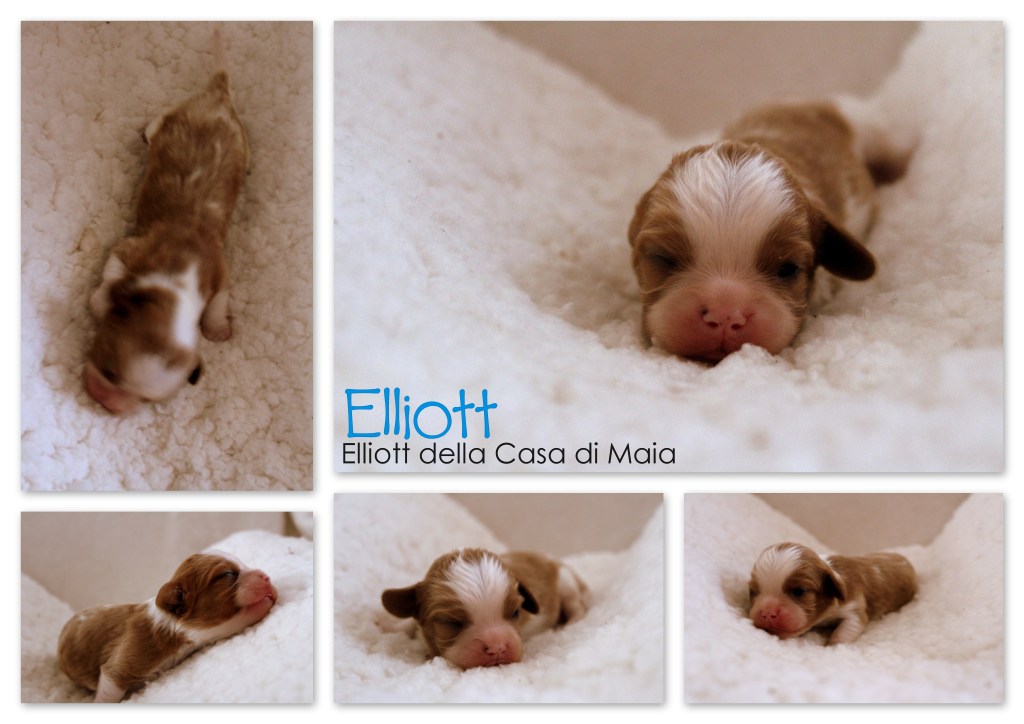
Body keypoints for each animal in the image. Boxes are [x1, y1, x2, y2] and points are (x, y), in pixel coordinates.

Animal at [84, 30, 248, 413]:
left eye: (146, 400)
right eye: (110, 370)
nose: (105, 402)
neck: (175, 282)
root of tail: (218, 97)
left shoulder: (218, 274)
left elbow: (218, 302)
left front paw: (217, 330)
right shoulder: (130, 247)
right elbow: (112, 274)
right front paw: (100, 300)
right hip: (174, 117)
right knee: (158, 122)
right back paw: (146, 132)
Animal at [381, 548, 590, 669]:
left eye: (516, 612)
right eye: (451, 622)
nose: (498, 648)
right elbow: (410, 621)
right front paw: (392, 626)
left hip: (566, 582)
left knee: (576, 605)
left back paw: (571, 623)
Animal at [747, 541, 916, 645]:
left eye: (799, 591)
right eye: (754, 592)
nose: (767, 613)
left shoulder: (854, 605)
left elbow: (848, 628)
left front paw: (832, 646)